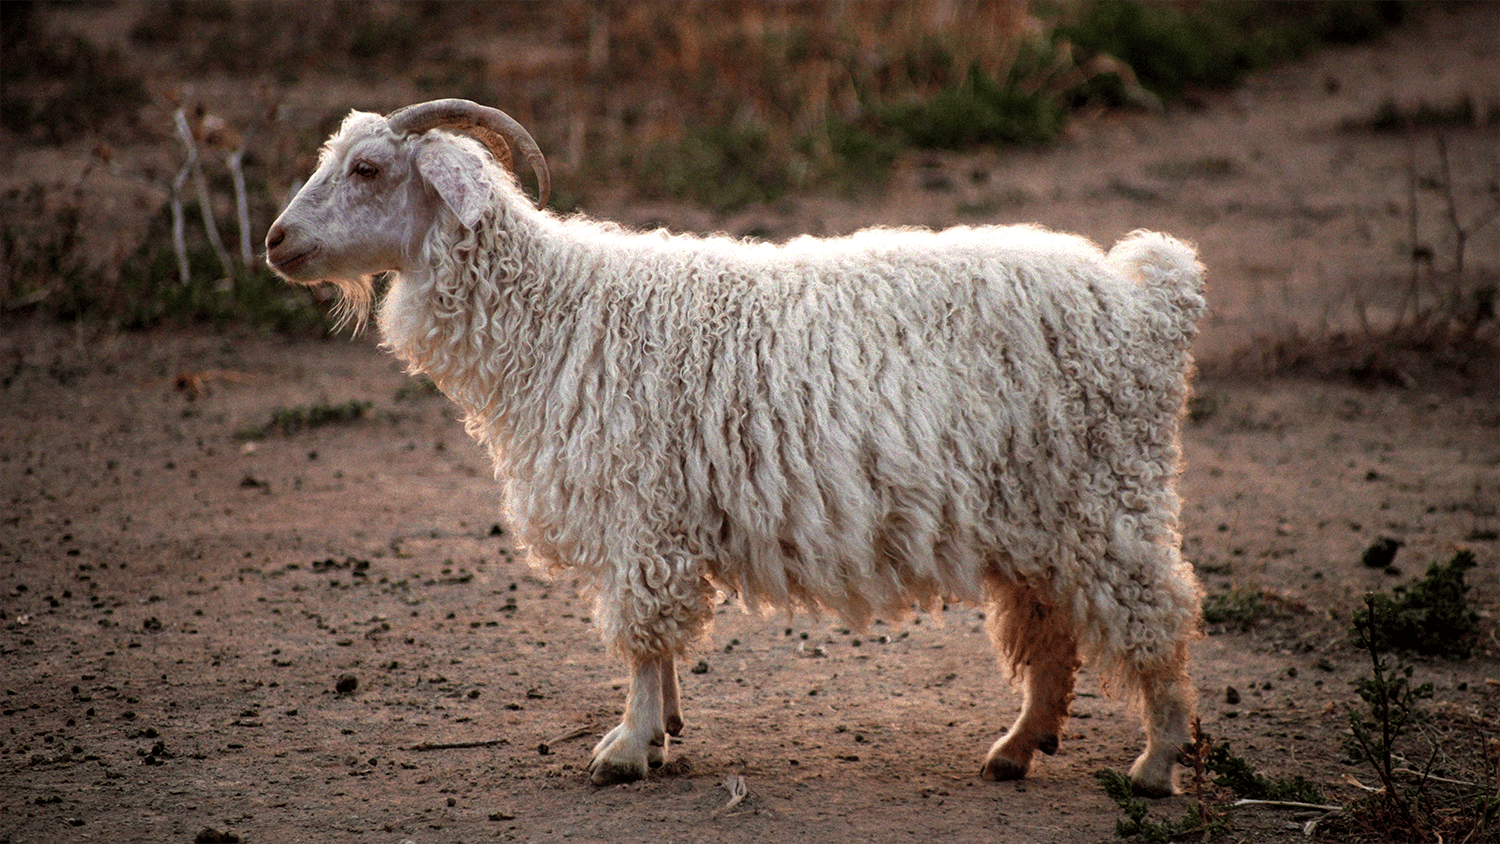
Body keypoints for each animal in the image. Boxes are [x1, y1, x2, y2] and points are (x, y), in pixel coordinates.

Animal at [266, 99, 1207, 796]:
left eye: (368, 169)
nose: (276, 241)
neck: (558, 313)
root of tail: (1149, 299)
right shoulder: (652, 519)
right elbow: (656, 642)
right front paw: (664, 732)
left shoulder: (641, 509)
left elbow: (641, 634)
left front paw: (626, 746)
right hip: (1035, 508)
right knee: (1050, 628)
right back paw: (1016, 748)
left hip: (1107, 490)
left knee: (1156, 610)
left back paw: (1155, 765)